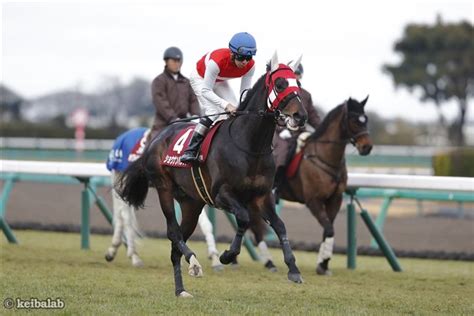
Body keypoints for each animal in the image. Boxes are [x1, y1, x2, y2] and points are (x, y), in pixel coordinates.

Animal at [117, 53, 308, 298]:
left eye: (298, 85)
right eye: (280, 84)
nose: (300, 116)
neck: (250, 146)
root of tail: (156, 139)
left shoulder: (262, 196)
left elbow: (280, 225)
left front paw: (293, 269)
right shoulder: (222, 195)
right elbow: (244, 218)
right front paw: (227, 256)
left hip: (191, 202)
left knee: (176, 244)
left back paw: (181, 290)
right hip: (164, 188)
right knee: (173, 232)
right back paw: (194, 262)